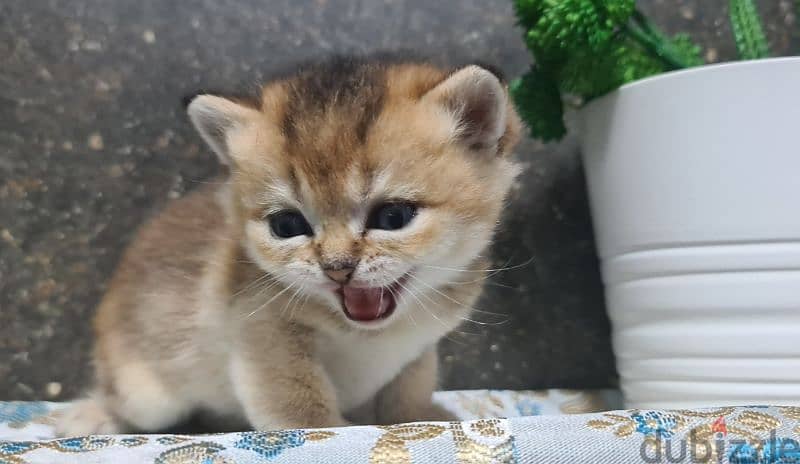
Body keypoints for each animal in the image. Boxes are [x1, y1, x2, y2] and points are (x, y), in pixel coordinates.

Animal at [54, 54, 520, 436]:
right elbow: (294, 399)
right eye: (287, 225)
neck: (373, 334)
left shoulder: (417, 348)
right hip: (146, 394)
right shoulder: (261, 330)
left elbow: (408, 387)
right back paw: (92, 415)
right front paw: (326, 430)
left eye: (392, 218)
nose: (337, 267)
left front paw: (416, 416)